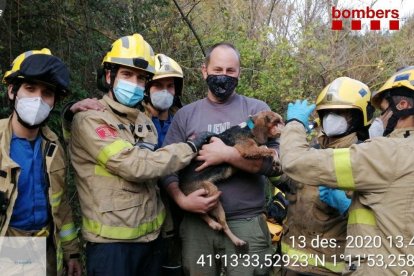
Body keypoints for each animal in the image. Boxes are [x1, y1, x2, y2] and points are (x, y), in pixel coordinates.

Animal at [179, 111, 284, 247]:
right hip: (211, 193)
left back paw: (216, 226)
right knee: (214, 220)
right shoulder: (248, 149)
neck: (248, 129)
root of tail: (181, 185)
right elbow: (271, 150)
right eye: (277, 121)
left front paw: (276, 161)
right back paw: (236, 239)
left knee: (203, 215)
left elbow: (266, 148)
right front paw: (276, 160)